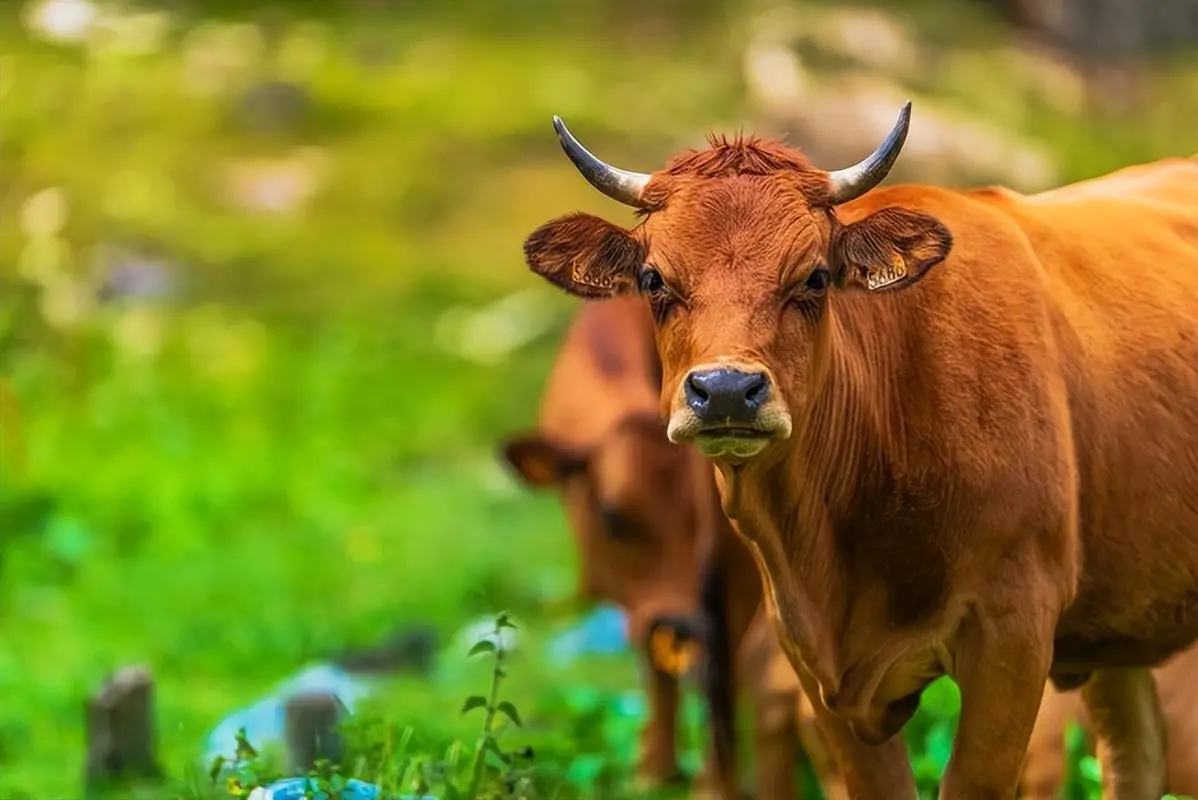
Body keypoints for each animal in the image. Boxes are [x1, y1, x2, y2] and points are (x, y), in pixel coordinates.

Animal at [495, 298, 843, 800]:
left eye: (707, 514)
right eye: (612, 516)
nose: (678, 623)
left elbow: (724, 672)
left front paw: (714, 785)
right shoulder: (640, 598)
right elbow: (658, 661)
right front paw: (653, 770)